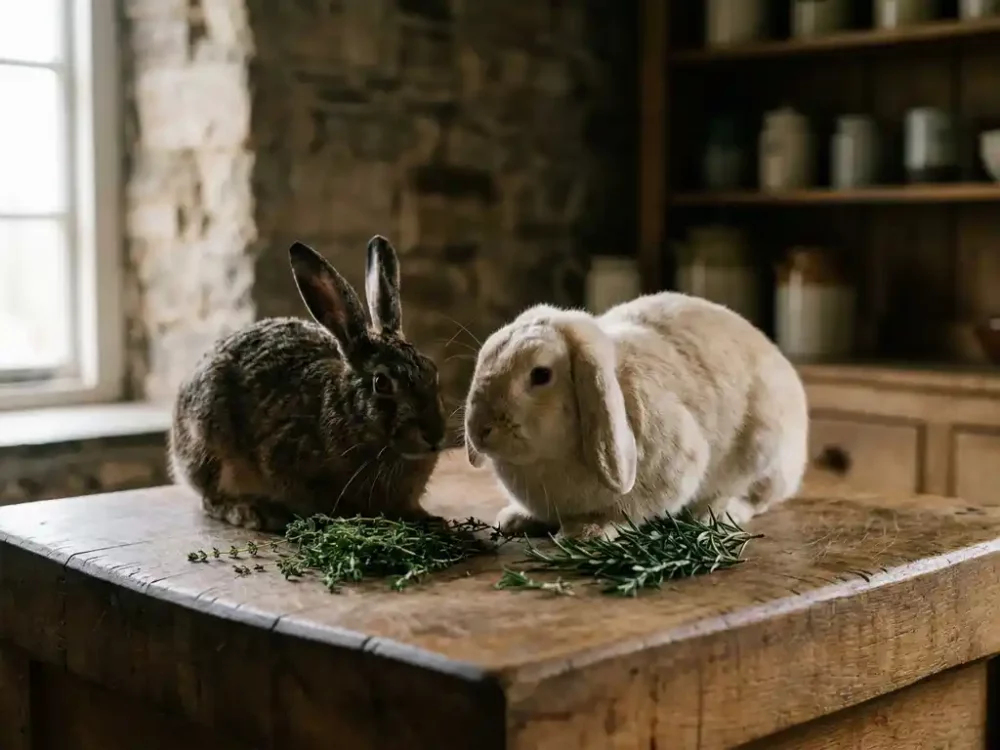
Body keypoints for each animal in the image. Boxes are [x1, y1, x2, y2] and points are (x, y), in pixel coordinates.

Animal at [168, 236, 448, 532]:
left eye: (432, 369)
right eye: (381, 383)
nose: (435, 435)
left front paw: (427, 518)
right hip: (211, 447)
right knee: (210, 499)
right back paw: (251, 513)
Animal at [463, 291, 809, 540]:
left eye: (540, 375)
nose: (480, 429)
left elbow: (628, 512)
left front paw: (587, 531)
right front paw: (515, 520)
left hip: (763, 453)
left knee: (756, 496)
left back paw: (717, 512)